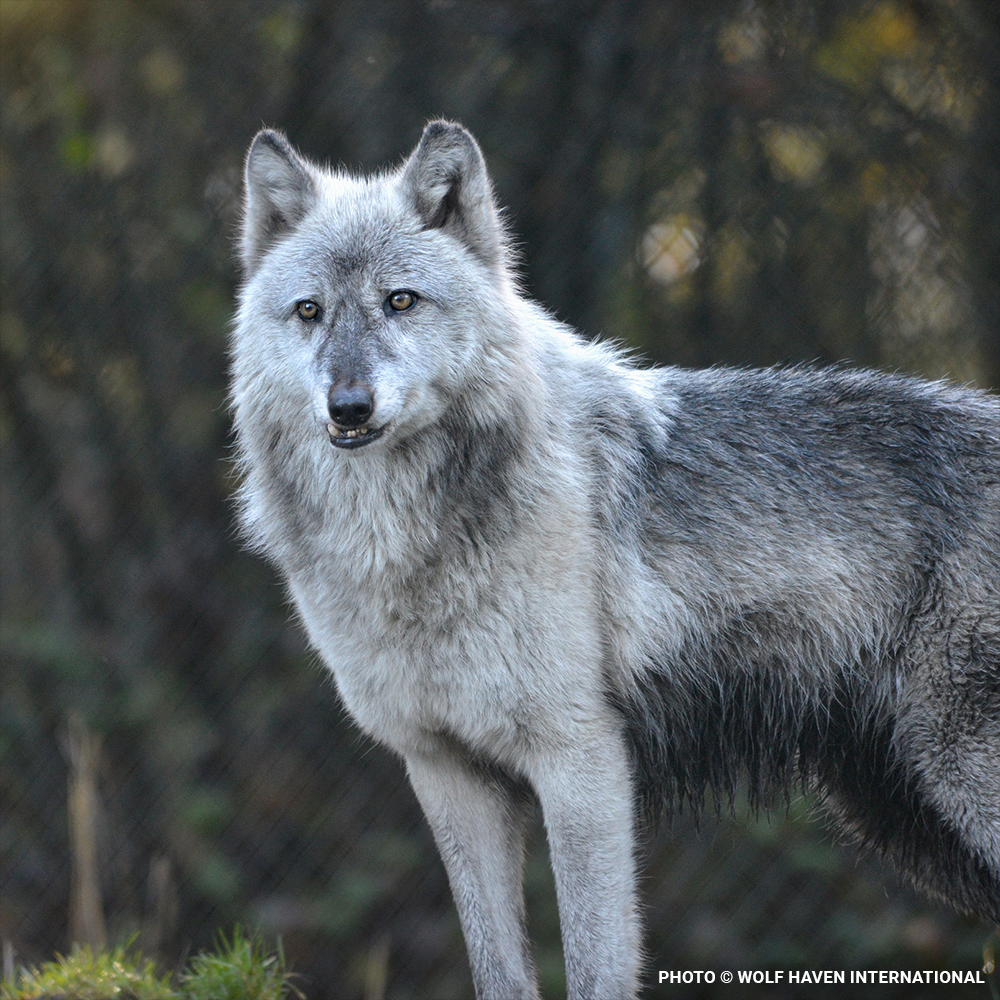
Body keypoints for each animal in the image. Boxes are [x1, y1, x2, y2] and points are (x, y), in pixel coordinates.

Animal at [230, 120, 1000, 999]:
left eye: (400, 301)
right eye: (310, 312)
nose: (349, 407)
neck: (404, 546)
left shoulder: (582, 764)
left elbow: (596, 962)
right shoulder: (447, 776)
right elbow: (498, 969)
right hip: (906, 817)